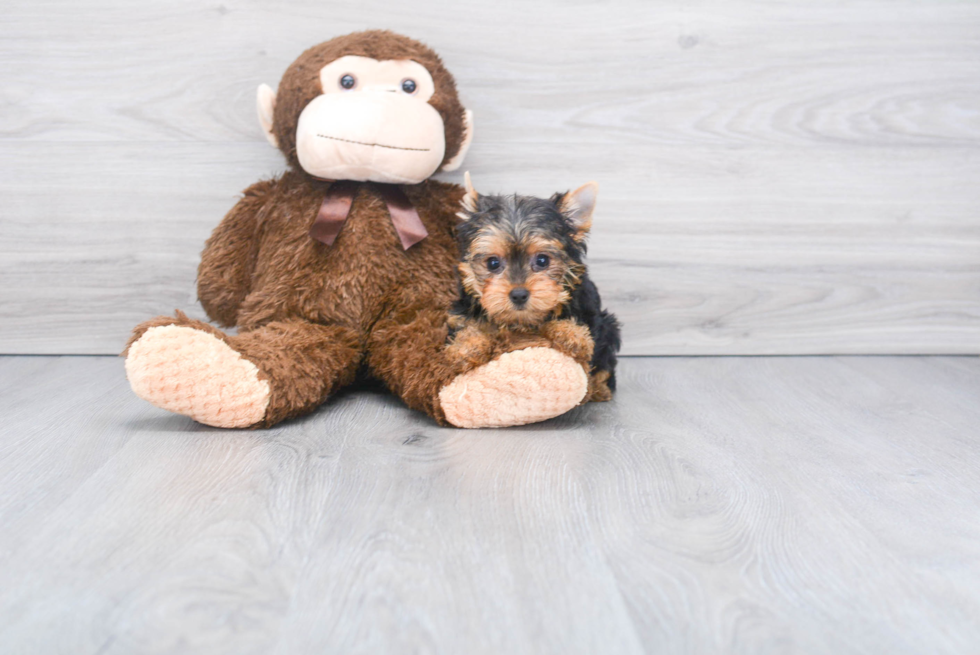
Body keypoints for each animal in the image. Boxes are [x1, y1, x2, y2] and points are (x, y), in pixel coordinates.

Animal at [446, 172, 620, 402]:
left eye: (542, 260)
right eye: (492, 263)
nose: (519, 294)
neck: (521, 321)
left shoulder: (590, 312)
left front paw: (572, 335)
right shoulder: (461, 312)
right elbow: (466, 326)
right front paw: (468, 347)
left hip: (610, 327)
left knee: (605, 364)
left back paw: (600, 389)